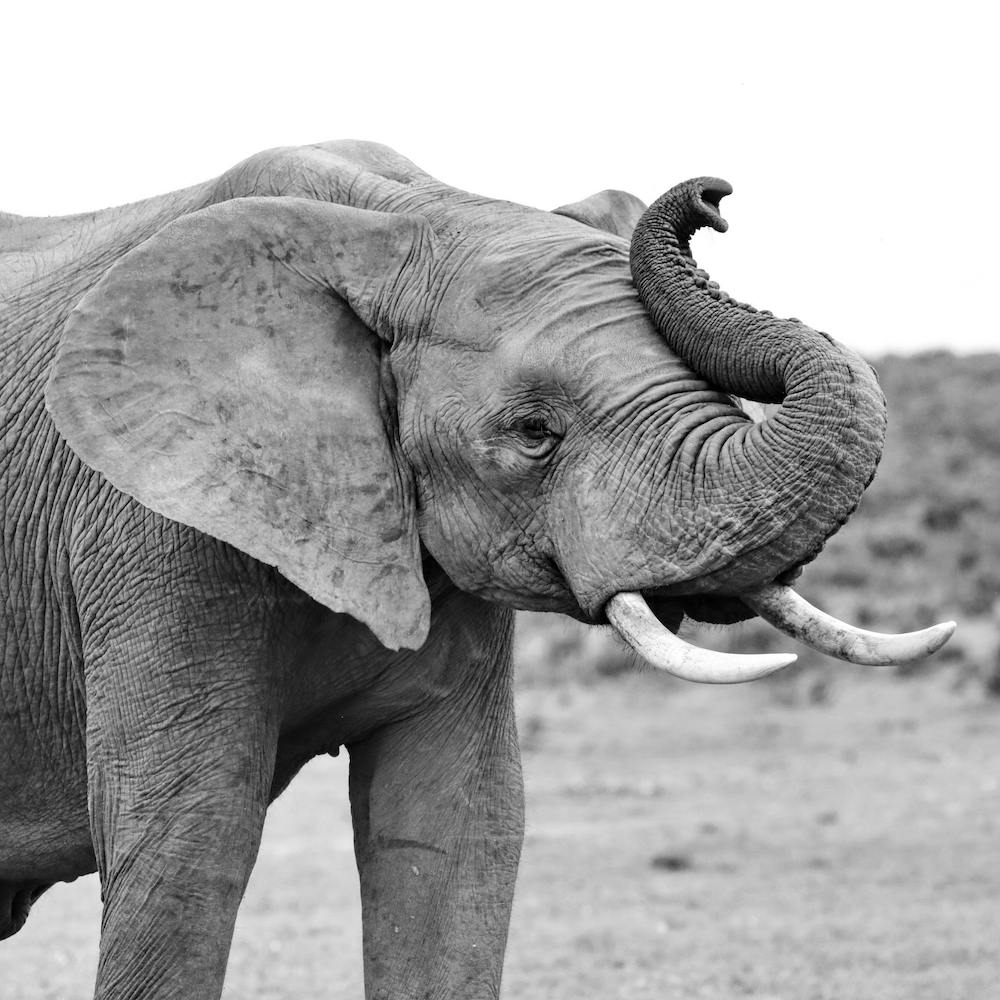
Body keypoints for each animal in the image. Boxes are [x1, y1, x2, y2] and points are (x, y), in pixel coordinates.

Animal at [0, 139, 954, 999]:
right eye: (534, 434)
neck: (405, 214)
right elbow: (190, 837)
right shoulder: (150, 526)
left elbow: (453, 829)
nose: (714, 197)